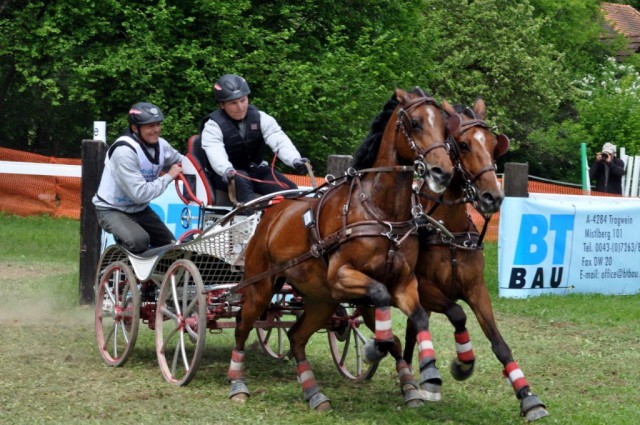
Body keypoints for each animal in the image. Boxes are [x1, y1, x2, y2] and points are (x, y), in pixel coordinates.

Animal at [225, 88, 456, 410]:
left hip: (320, 300)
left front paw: (425, 379)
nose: (442, 171)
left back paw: (314, 392)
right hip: (261, 287)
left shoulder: (403, 282)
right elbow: (382, 304)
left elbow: (417, 318)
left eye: (445, 127)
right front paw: (374, 349)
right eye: (416, 123)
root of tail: (271, 212)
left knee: (296, 336)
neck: (380, 212)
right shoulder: (342, 276)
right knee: (242, 326)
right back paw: (238, 383)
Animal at [408, 97, 548, 420]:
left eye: (494, 145)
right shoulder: (424, 288)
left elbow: (499, 343)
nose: (492, 197)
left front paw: (527, 395)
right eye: (463, 144)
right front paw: (463, 363)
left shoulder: (477, 290)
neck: (449, 232)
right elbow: (457, 313)